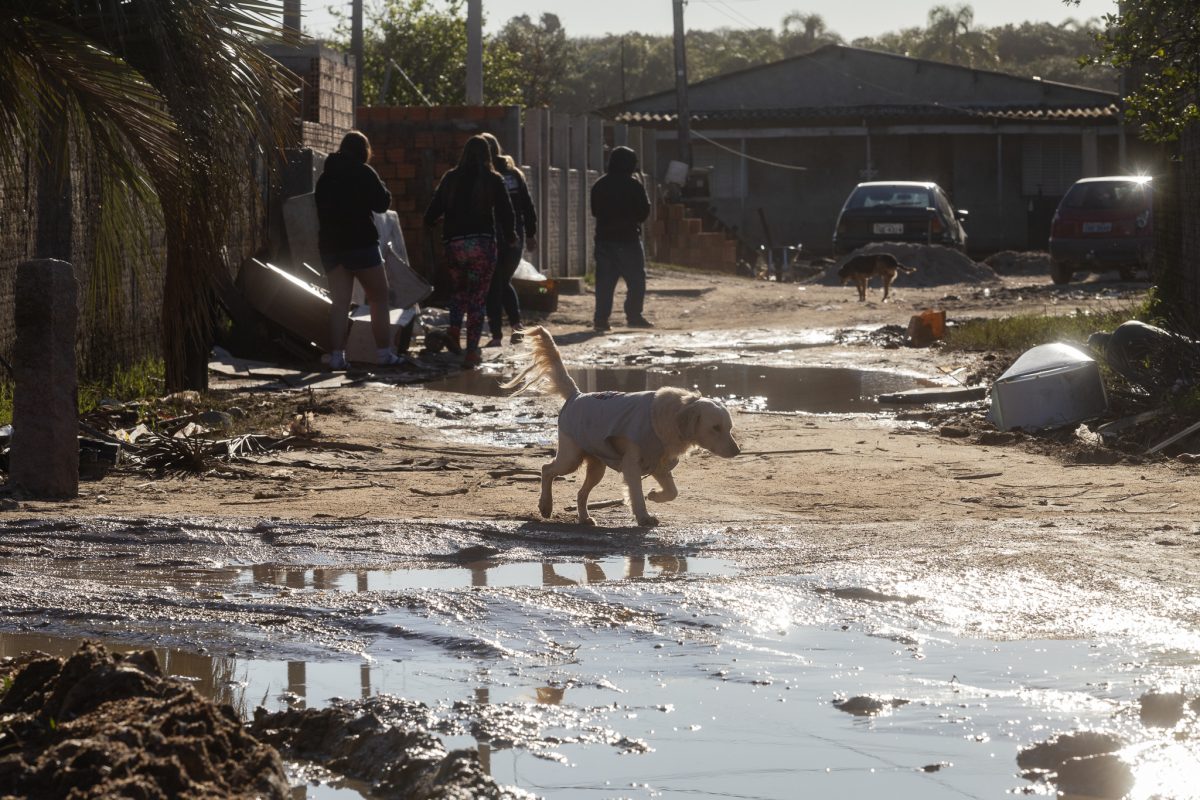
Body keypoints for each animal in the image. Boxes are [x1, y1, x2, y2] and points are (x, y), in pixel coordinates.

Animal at [501, 326, 734, 525]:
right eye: (716, 427)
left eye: (729, 428)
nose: (737, 450)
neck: (670, 416)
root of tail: (576, 395)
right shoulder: (632, 465)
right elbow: (637, 495)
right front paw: (644, 517)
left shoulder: (658, 465)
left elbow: (672, 492)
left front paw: (655, 495)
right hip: (571, 457)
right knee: (547, 469)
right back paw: (545, 506)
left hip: (597, 466)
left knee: (580, 493)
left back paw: (584, 518)